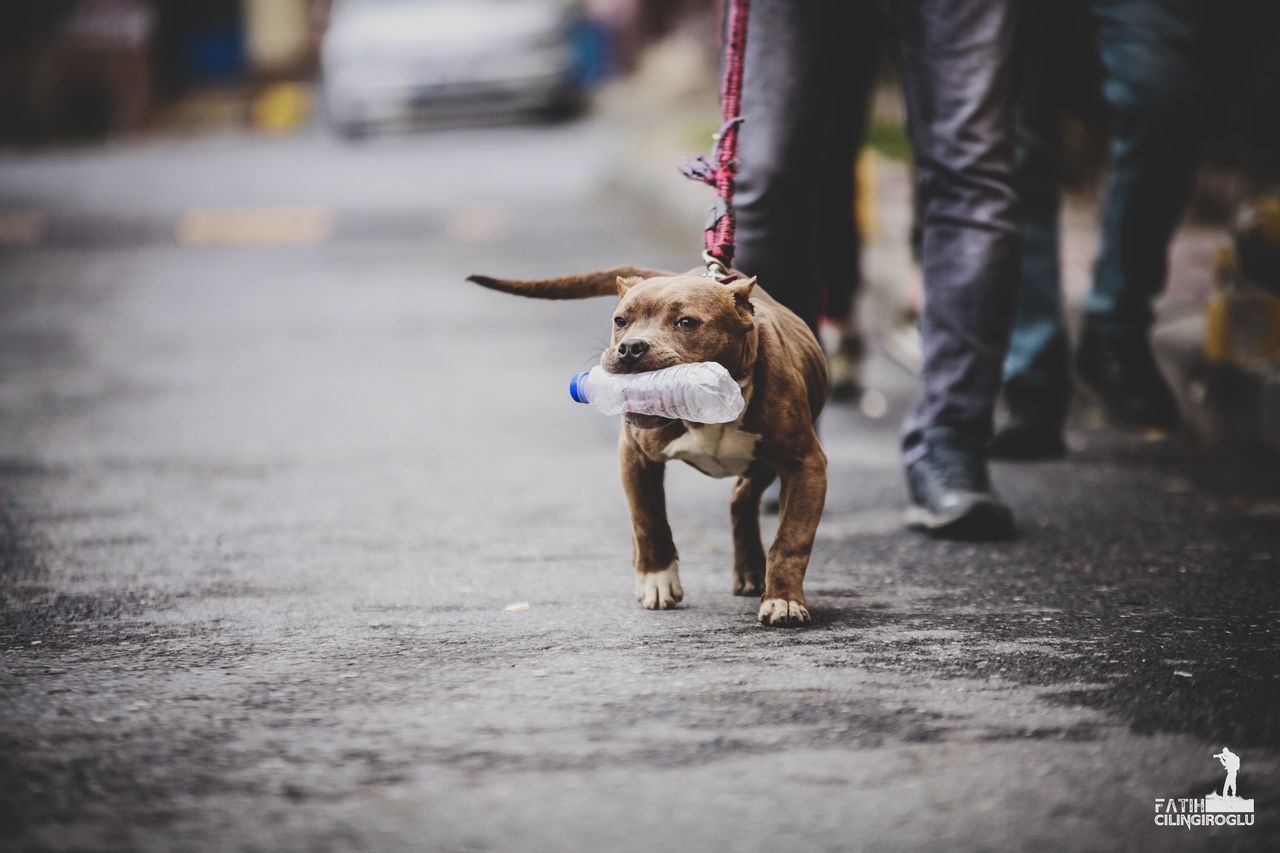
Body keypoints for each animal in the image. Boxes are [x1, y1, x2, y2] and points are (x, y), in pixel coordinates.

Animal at [471, 266, 829, 625]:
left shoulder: (805, 465)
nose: (630, 348)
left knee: (742, 498)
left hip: (761, 466)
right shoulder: (635, 456)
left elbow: (791, 540)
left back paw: (752, 573)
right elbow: (648, 519)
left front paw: (783, 600)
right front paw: (658, 580)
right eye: (620, 321)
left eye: (686, 322)